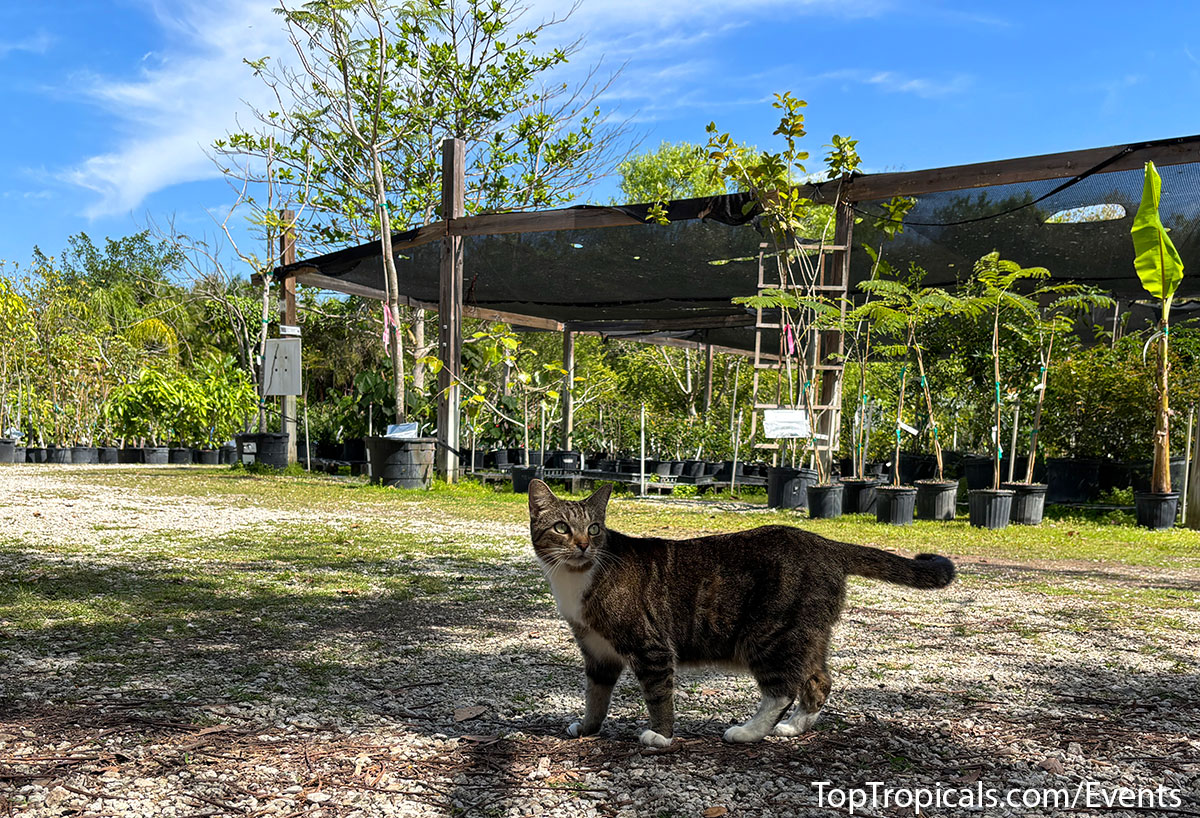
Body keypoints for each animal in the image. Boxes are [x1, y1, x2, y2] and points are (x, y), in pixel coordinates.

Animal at [530, 477, 960, 743]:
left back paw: (750, 732)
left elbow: (658, 695)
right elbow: (595, 695)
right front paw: (588, 728)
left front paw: (662, 736)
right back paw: (793, 728)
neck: (578, 575)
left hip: (769, 635)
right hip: (807, 635)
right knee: (819, 681)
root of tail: (821, 542)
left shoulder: (650, 648)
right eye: (562, 528)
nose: (584, 544)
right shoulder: (597, 652)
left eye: (595, 529)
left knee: (782, 689)